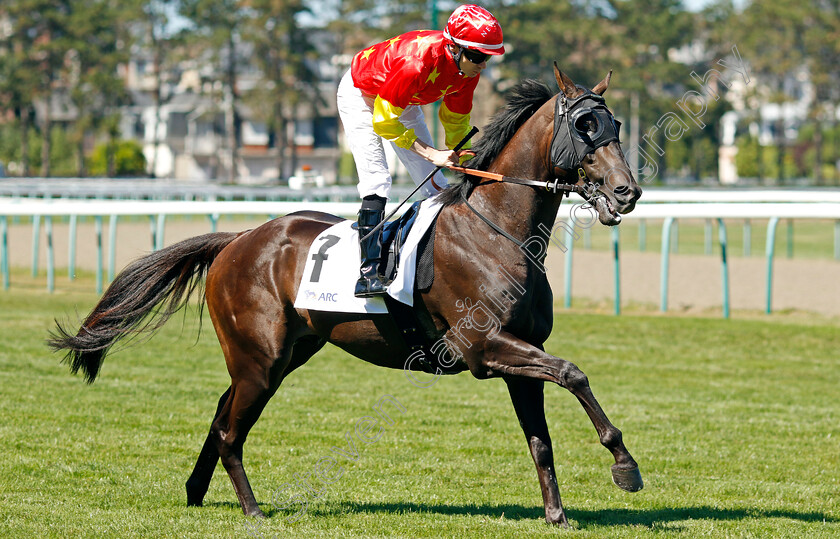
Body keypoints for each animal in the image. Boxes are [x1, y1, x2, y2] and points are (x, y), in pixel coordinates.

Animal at [49, 64, 644, 528]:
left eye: (615, 124)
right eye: (585, 126)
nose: (628, 192)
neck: (497, 230)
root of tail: (238, 239)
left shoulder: (520, 353)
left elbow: (542, 436)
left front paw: (556, 513)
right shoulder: (483, 347)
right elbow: (573, 373)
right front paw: (624, 464)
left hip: (284, 353)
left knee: (221, 414)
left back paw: (197, 491)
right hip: (261, 357)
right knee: (231, 431)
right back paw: (252, 509)